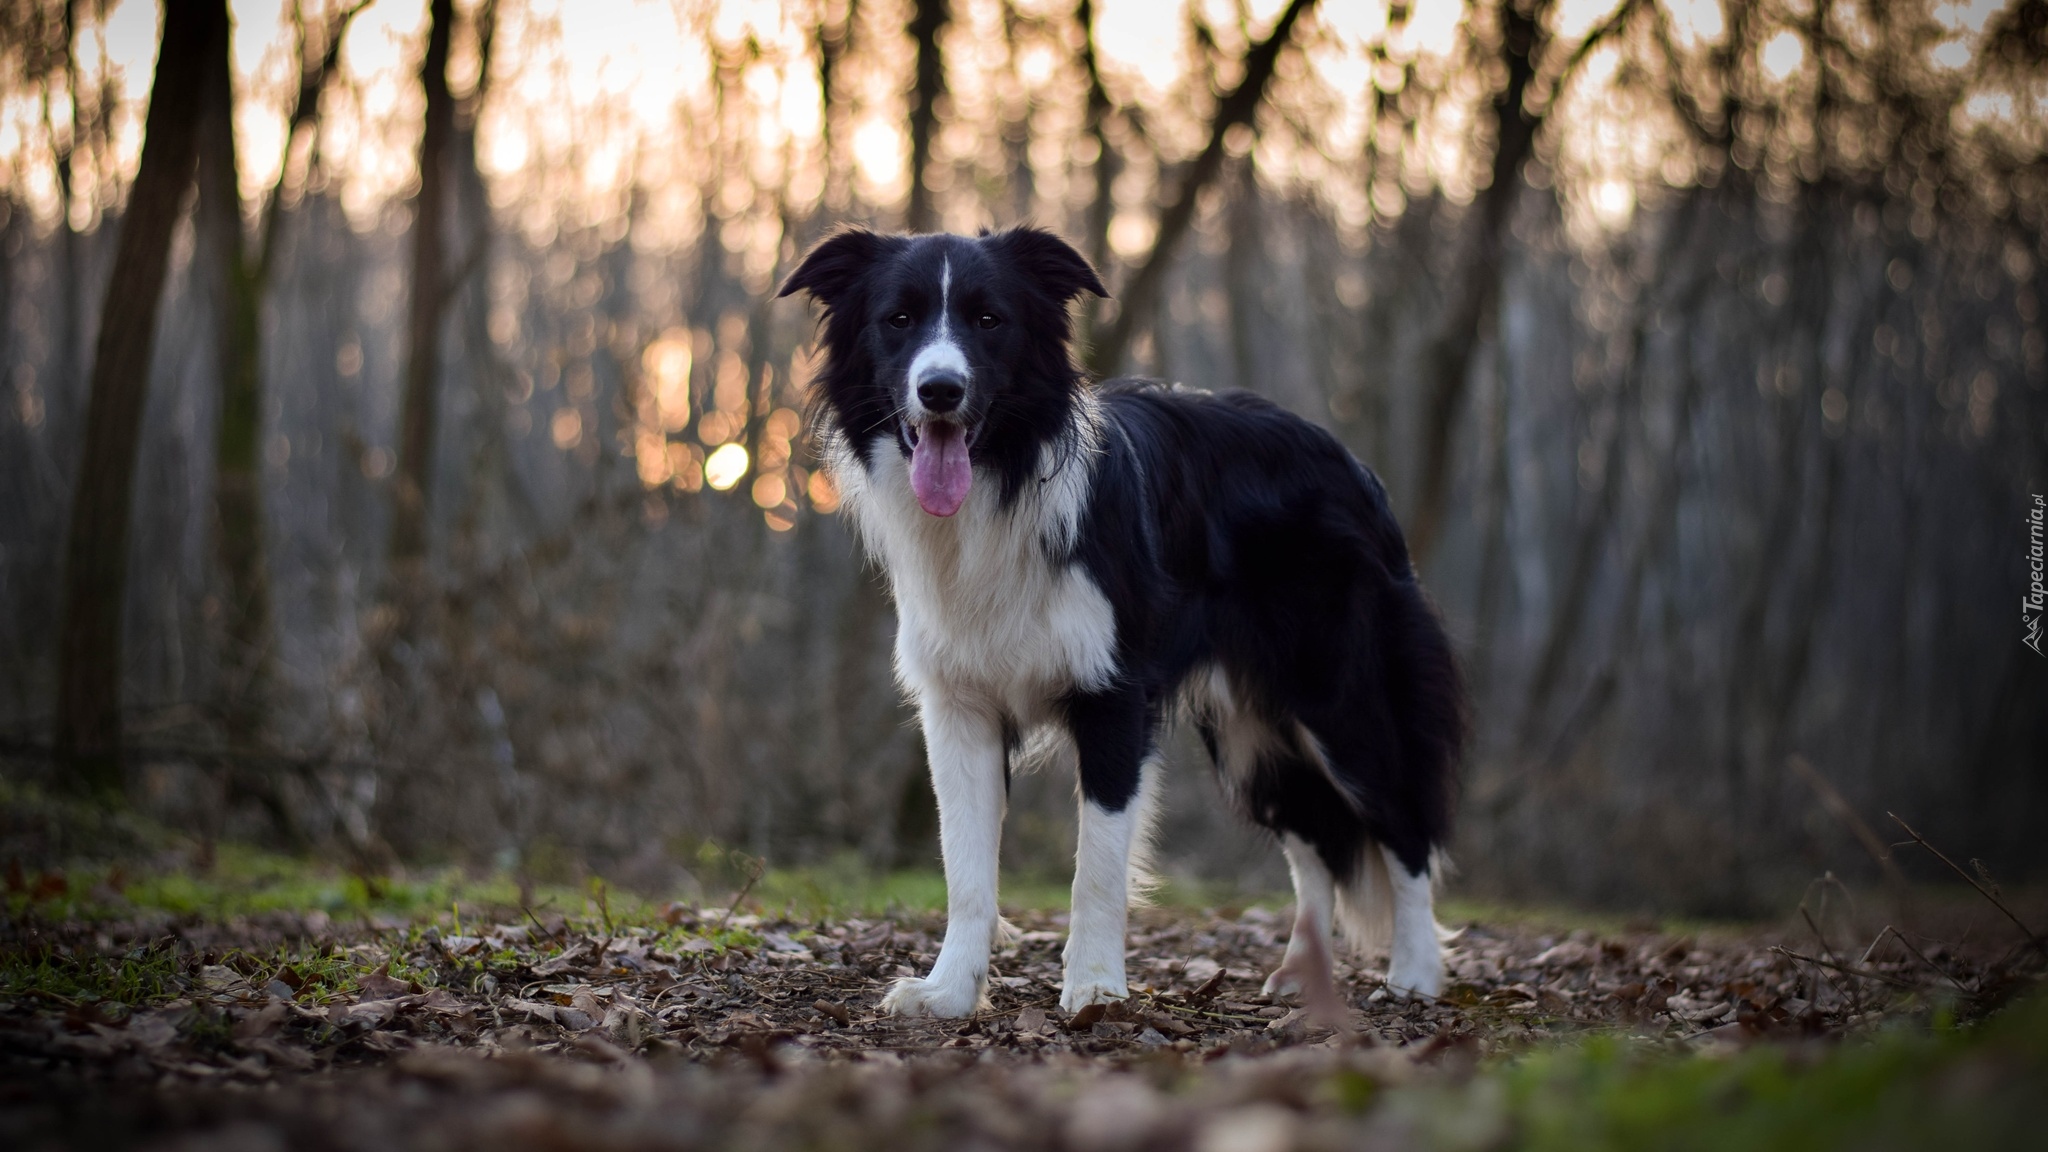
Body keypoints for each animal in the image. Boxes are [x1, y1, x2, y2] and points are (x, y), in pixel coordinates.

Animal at [774, 224, 1466, 1012]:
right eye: (898, 319)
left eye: (989, 320)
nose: (940, 390)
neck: (1000, 486)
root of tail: (1352, 465)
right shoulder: (959, 708)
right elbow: (966, 870)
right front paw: (947, 993)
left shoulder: (1113, 696)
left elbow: (1097, 867)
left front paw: (1096, 989)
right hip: (1248, 730)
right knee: (1314, 837)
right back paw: (1302, 975)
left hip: (1336, 699)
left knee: (1403, 825)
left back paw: (1414, 976)